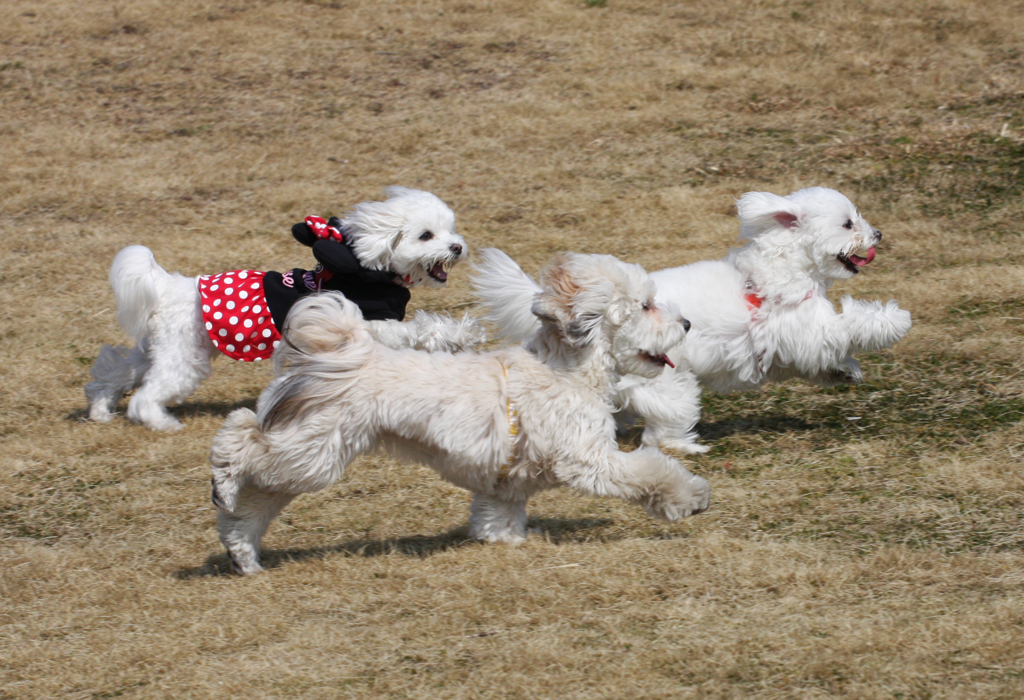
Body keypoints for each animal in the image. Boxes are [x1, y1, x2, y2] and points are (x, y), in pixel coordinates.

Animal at [84, 186, 483, 431]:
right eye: (426, 235)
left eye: (451, 230)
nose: (458, 247)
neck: (371, 269)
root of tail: (168, 288)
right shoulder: (372, 322)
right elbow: (419, 329)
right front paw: (460, 335)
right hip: (185, 358)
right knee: (146, 396)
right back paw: (161, 422)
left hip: (160, 349)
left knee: (116, 371)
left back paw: (101, 409)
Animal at [208, 253, 712, 577]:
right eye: (645, 305)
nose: (686, 323)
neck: (566, 370)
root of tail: (337, 357)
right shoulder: (589, 460)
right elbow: (650, 471)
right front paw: (690, 497)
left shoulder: (509, 478)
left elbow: (499, 513)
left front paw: (504, 540)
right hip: (313, 451)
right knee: (238, 437)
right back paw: (224, 483)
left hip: (304, 455)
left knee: (253, 502)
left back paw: (242, 552)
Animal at [471, 187, 913, 454]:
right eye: (848, 223)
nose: (877, 233)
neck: (781, 267)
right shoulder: (804, 327)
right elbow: (849, 325)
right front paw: (895, 320)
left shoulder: (789, 347)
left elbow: (829, 356)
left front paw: (844, 371)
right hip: (669, 384)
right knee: (662, 434)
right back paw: (688, 445)